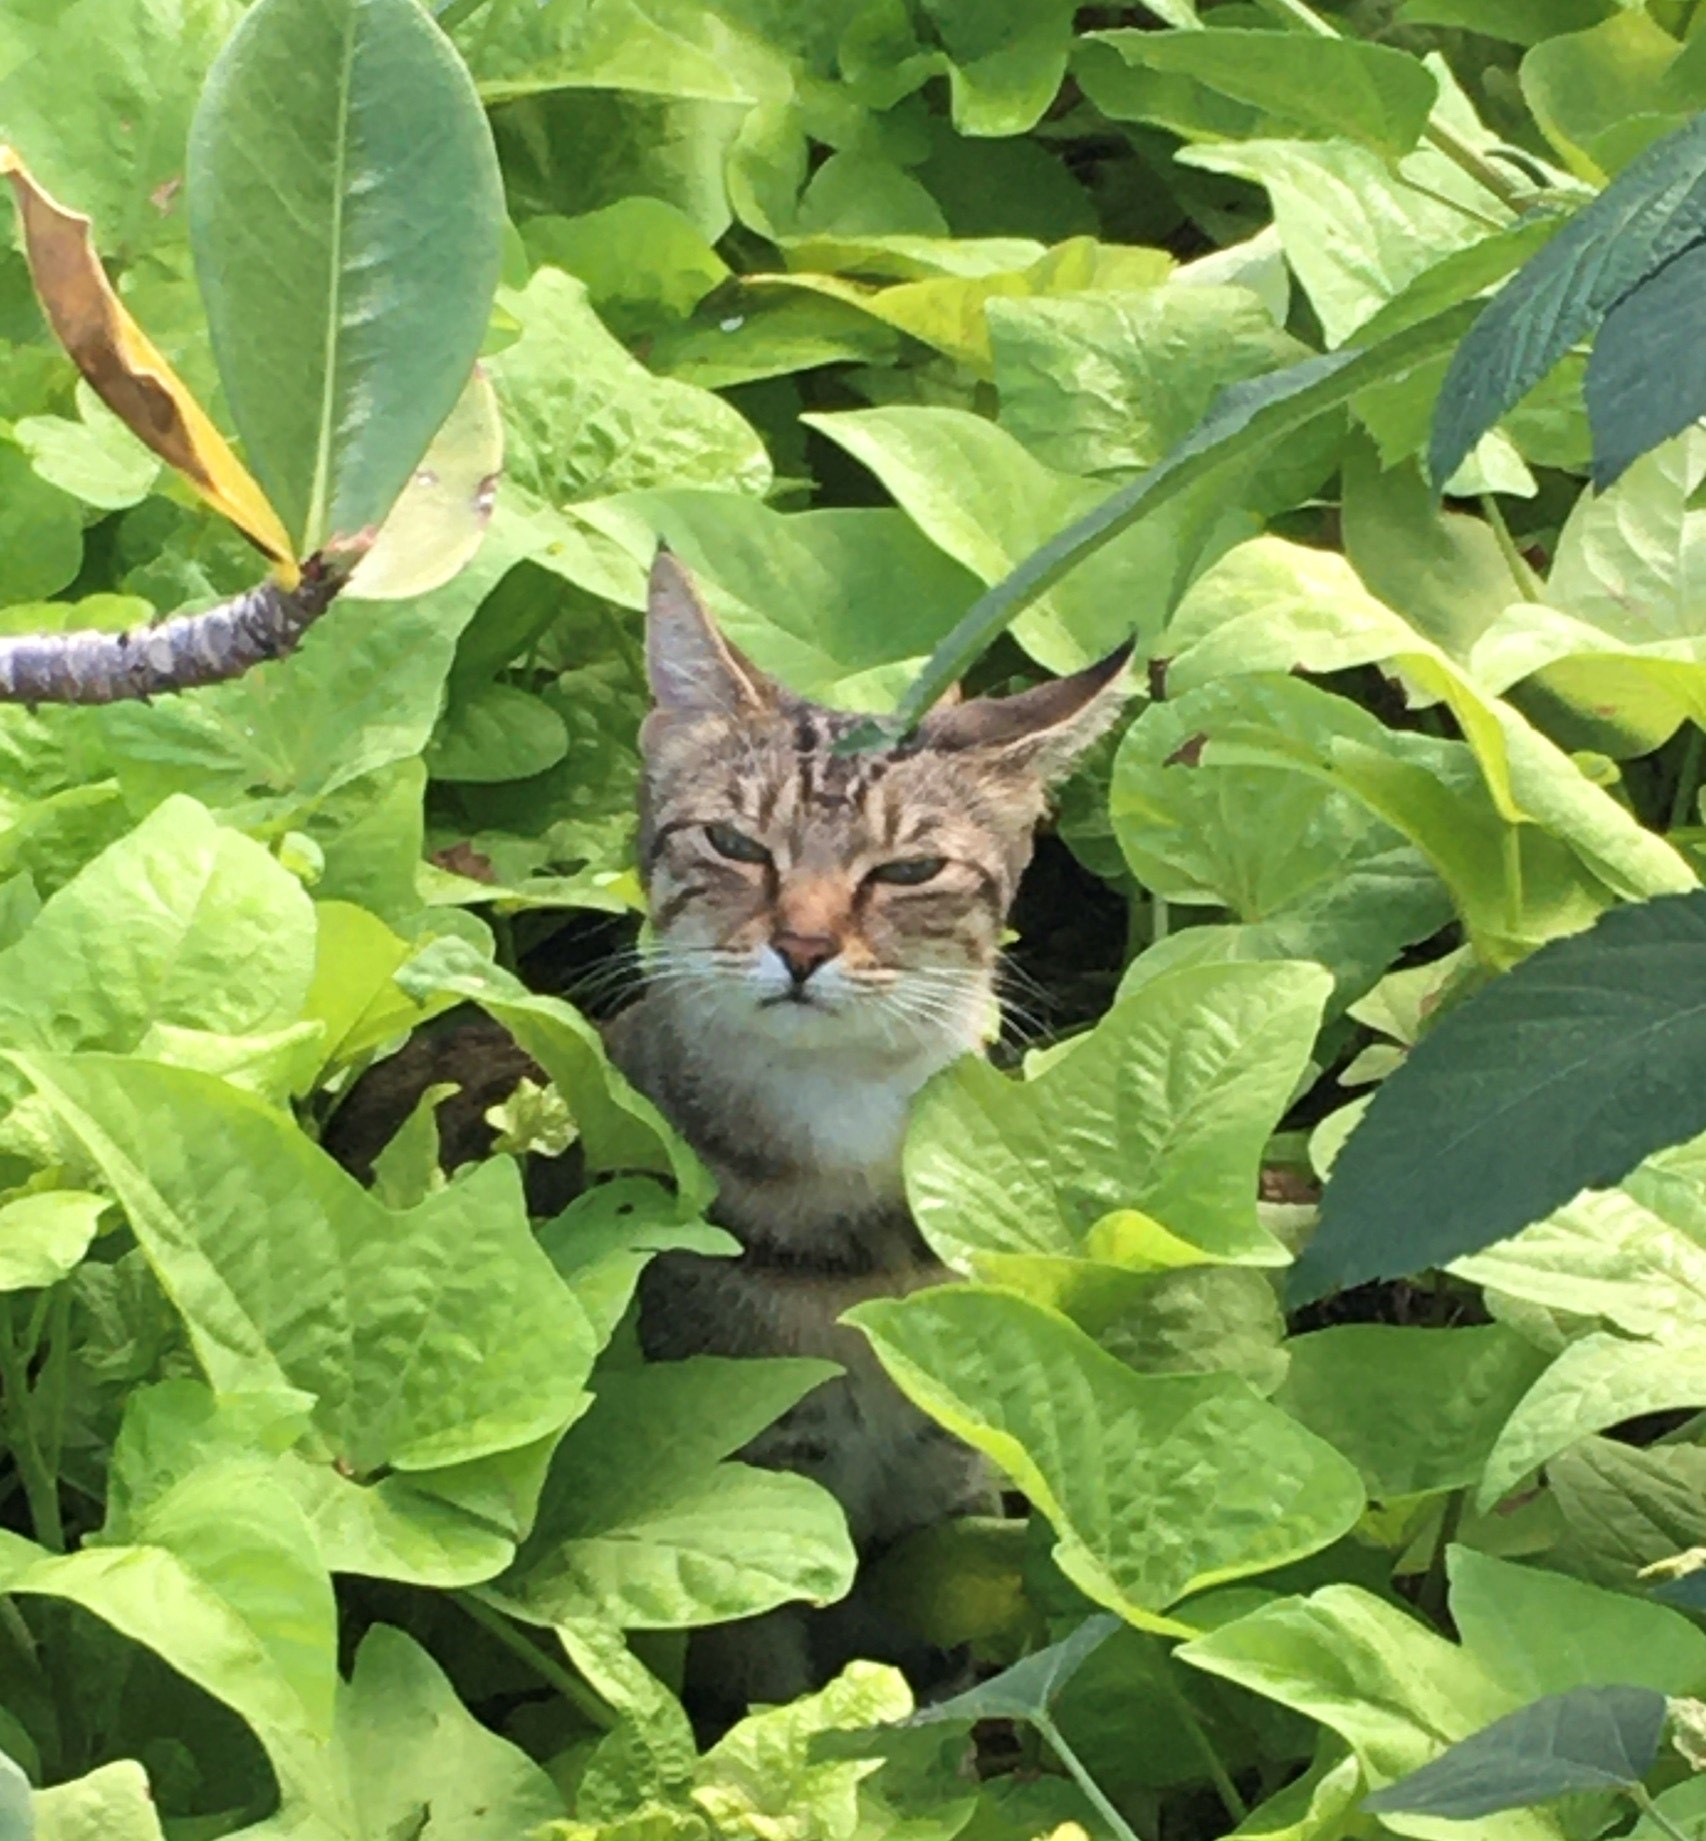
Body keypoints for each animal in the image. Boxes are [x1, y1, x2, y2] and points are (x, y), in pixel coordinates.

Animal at [614, 548, 1133, 1723]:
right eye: (734, 843)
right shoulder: (752, 1492)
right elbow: (764, 1697)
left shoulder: (951, 1462)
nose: (803, 945)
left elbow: (938, 1675)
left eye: (905, 870)